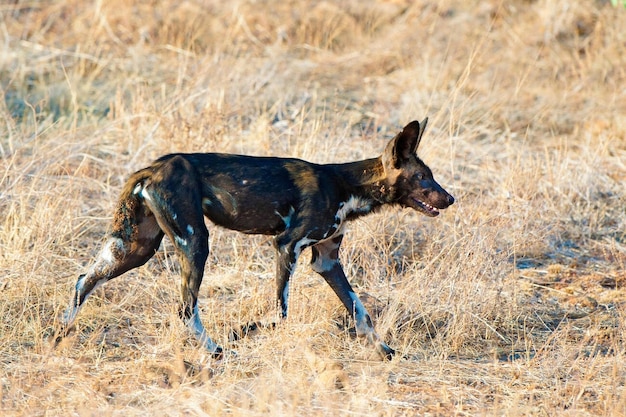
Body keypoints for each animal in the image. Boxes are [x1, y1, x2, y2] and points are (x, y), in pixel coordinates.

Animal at [58, 117, 450, 358]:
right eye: (423, 178)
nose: (450, 198)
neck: (348, 186)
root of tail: (151, 167)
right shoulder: (287, 246)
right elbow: (281, 313)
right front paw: (244, 331)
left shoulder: (327, 261)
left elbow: (361, 312)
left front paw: (385, 352)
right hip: (195, 242)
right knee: (185, 308)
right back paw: (217, 351)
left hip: (137, 247)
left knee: (83, 280)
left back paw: (59, 333)